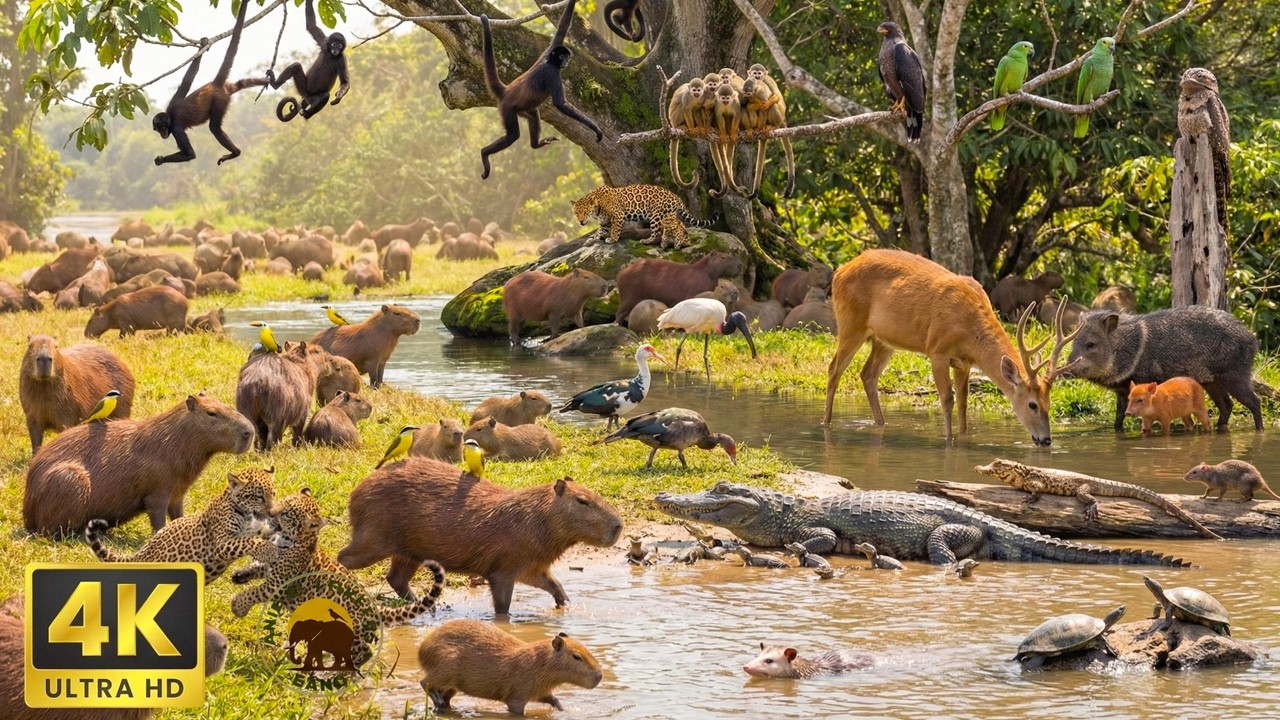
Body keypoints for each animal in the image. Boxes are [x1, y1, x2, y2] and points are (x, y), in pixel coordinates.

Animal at [85, 466, 280, 582]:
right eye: (259, 497)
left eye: (273, 493)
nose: (272, 512)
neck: (246, 514)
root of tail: (140, 554)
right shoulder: (222, 543)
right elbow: (247, 541)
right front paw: (268, 550)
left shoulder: (257, 528)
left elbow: (260, 534)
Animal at [152, 0, 267, 166]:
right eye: (158, 129)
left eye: (162, 128)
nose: (162, 135)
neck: (170, 115)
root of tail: (215, 84)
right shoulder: (174, 101)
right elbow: (188, 79)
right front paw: (202, 46)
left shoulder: (176, 128)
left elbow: (190, 154)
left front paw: (160, 159)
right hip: (229, 89)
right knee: (242, 82)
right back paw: (270, 80)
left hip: (219, 101)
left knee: (214, 127)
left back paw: (235, 153)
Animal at [230, 489, 445, 668]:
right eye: (283, 501)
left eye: (288, 514)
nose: (271, 512)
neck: (288, 539)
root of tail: (376, 610)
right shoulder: (271, 568)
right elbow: (257, 568)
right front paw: (238, 575)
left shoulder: (279, 583)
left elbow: (255, 592)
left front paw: (238, 605)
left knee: (364, 652)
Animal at [478, 0, 603, 180]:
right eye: (562, 56)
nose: (566, 60)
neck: (549, 61)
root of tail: (506, 91)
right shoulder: (552, 72)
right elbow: (560, 103)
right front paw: (596, 129)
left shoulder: (547, 53)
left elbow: (561, 29)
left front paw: (572, 2)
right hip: (507, 108)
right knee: (513, 135)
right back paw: (484, 153)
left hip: (521, 109)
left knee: (533, 115)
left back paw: (535, 145)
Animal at [572, 184, 717, 249]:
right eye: (576, 213)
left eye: (585, 212)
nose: (580, 222)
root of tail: (676, 197)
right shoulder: (604, 222)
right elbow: (600, 231)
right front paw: (591, 239)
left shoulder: (618, 216)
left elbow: (615, 230)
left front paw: (612, 239)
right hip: (668, 216)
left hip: (657, 216)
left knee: (657, 233)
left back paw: (648, 241)